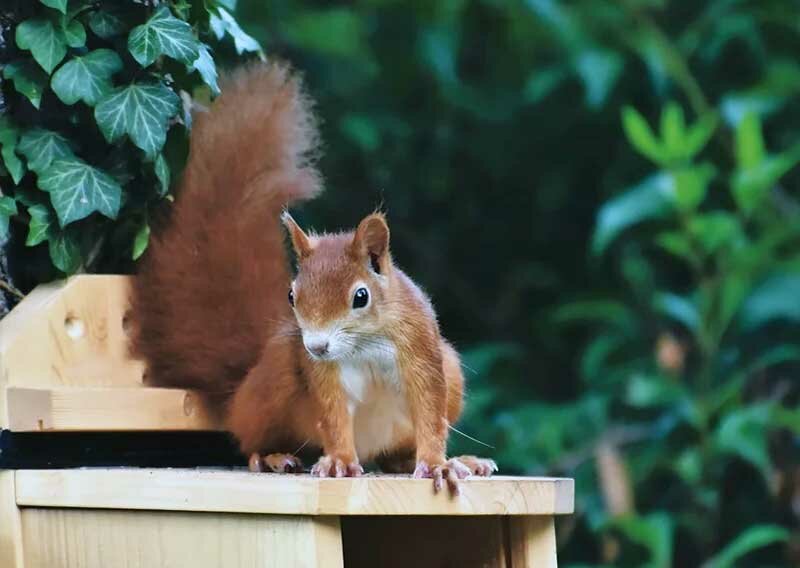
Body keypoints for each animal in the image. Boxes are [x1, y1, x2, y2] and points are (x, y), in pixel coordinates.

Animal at [130, 61, 494, 492]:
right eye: (292, 295)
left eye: (360, 297)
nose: (317, 346)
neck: (363, 345)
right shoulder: (320, 372)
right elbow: (332, 415)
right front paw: (338, 461)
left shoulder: (420, 348)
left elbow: (430, 410)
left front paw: (439, 463)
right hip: (275, 378)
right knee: (249, 438)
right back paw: (272, 456)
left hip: (450, 374)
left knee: (394, 457)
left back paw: (454, 461)